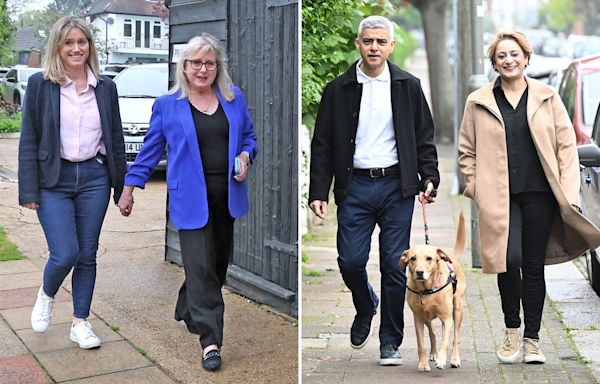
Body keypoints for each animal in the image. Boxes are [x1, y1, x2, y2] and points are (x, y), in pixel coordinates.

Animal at [400, 212, 466, 370]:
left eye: (429, 258)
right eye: (413, 258)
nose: (419, 272)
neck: (427, 290)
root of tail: (452, 258)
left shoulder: (447, 318)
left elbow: (446, 341)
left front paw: (441, 360)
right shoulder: (418, 318)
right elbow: (421, 344)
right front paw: (423, 364)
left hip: (457, 309)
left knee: (455, 337)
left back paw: (454, 359)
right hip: (426, 317)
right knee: (433, 332)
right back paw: (434, 353)